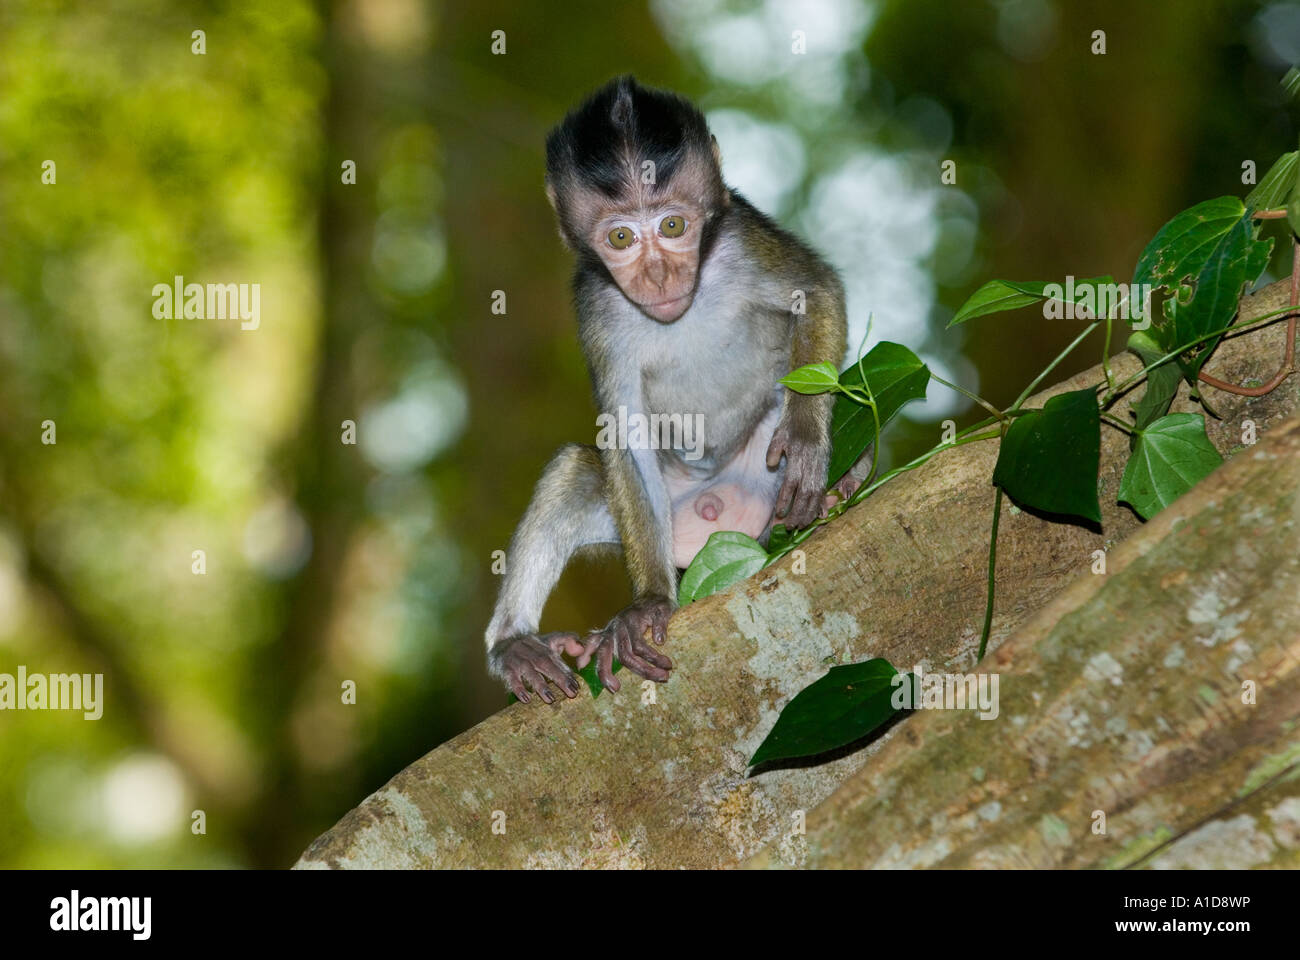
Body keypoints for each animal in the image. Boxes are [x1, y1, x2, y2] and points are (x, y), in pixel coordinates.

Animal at [488, 74, 852, 697]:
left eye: (674, 226)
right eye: (620, 237)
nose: (656, 274)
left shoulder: (741, 237)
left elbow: (816, 290)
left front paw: (805, 439)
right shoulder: (598, 305)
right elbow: (625, 433)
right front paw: (649, 604)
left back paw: (841, 484)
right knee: (576, 469)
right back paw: (515, 644)